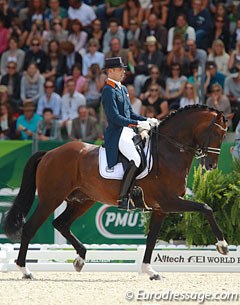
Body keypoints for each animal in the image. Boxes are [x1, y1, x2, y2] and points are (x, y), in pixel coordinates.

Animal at [3, 105, 229, 280]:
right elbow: (205, 208)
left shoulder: (160, 209)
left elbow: (151, 240)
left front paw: (150, 271)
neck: (169, 151)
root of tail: (49, 153)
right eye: (217, 134)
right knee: (30, 228)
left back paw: (80, 258)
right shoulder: (169, 201)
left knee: (61, 224)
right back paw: (25, 271)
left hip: (82, 200)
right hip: (51, 199)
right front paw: (223, 245)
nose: (211, 165)